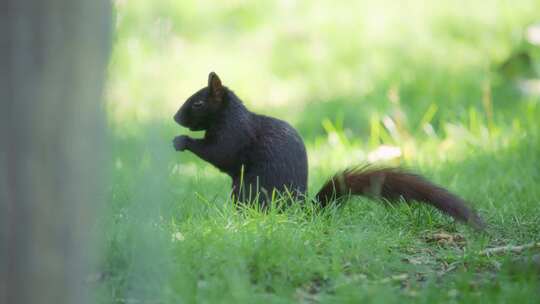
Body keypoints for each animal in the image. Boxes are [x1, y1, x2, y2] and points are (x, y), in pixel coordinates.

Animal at [173, 72, 486, 229]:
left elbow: (220, 154)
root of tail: (300, 211)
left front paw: (182, 141)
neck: (228, 114)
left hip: (248, 190)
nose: (176, 117)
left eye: (198, 103)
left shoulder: (235, 135)